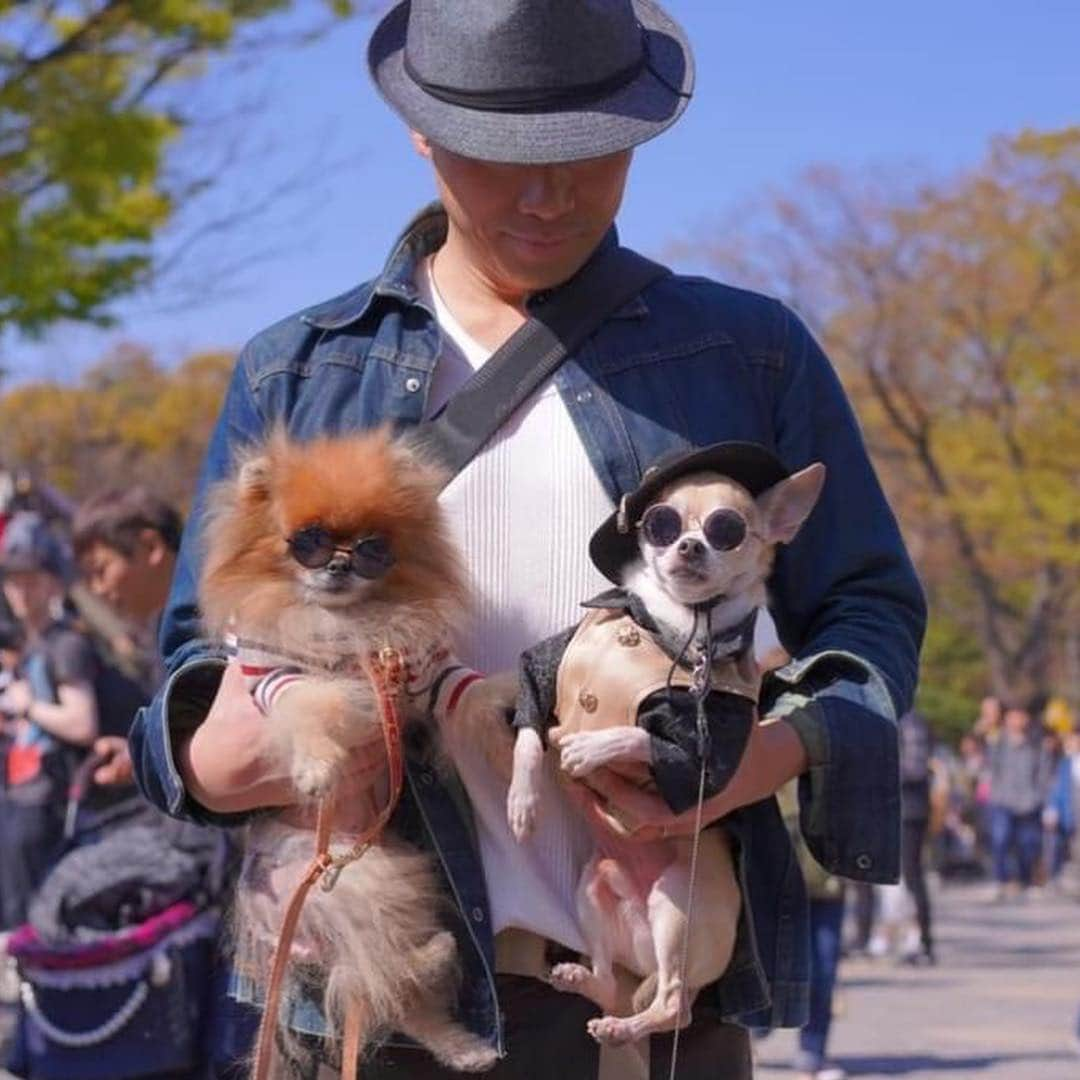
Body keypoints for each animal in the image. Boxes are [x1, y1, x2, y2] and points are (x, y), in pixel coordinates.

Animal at [199, 427, 509, 1071]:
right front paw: (318, 767)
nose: (340, 563)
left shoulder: (421, 671)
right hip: (364, 880)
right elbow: (312, 709)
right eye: (307, 543)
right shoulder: (277, 678)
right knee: (382, 975)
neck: (346, 624)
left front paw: (504, 712)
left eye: (372, 548)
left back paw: (463, 1038)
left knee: (395, 991)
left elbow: (465, 693)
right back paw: (440, 963)